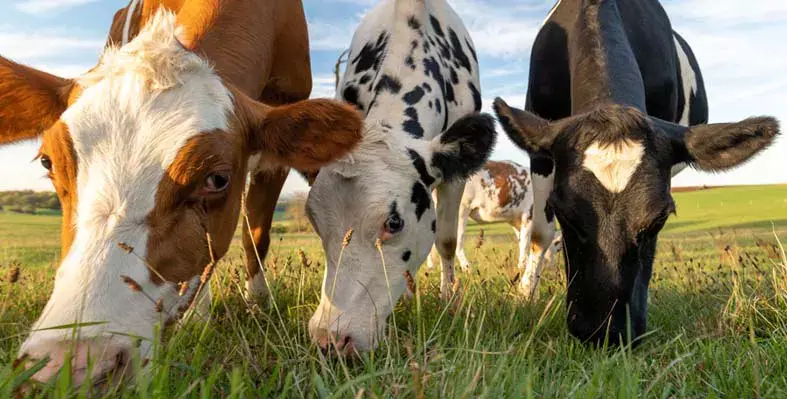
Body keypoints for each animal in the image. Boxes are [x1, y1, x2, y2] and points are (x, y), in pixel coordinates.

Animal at [0, 0, 364, 388]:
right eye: (48, 162)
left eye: (217, 178)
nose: (69, 366)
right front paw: (198, 317)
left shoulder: (277, 146)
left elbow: (255, 236)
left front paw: (257, 305)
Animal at [304, 0, 496, 354]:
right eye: (315, 221)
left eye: (394, 222)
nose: (330, 338)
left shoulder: (455, 176)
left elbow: (446, 240)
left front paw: (449, 301)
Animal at [496, 0, 780, 346]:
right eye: (563, 212)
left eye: (660, 217)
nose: (604, 332)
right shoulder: (540, 147)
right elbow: (540, 234)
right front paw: (525, 297)